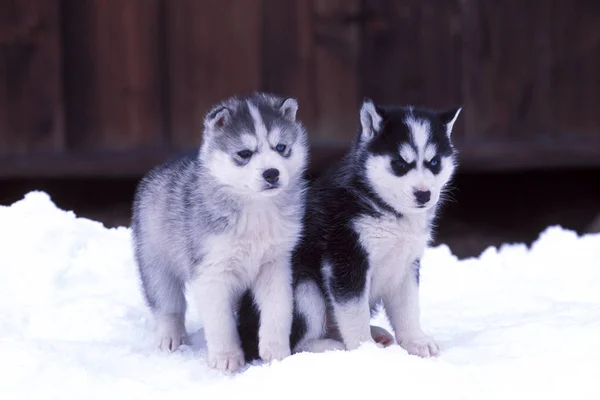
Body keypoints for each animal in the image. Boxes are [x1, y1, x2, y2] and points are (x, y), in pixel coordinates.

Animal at [132, 92, 310, 374]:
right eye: (244, 153)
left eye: (281, 147)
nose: (272, 173)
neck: (254, 208)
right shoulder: (211, 271)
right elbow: (220, 321)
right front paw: (227, 358)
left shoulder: (275, 264)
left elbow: (279, 308)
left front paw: (276, 352)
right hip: (155, 260)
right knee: (167, 303)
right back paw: (170, 337)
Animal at [288, 99, 462, 356]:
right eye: (399, 164)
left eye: (434, 163)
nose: (424, 194)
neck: (384, 207)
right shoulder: (347, 257)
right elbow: (353, 312)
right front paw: (366, 350)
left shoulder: (406, 264)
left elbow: (408, 307)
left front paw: (415, 341)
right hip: (302, 286)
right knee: (294, 343)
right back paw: (328, 347)